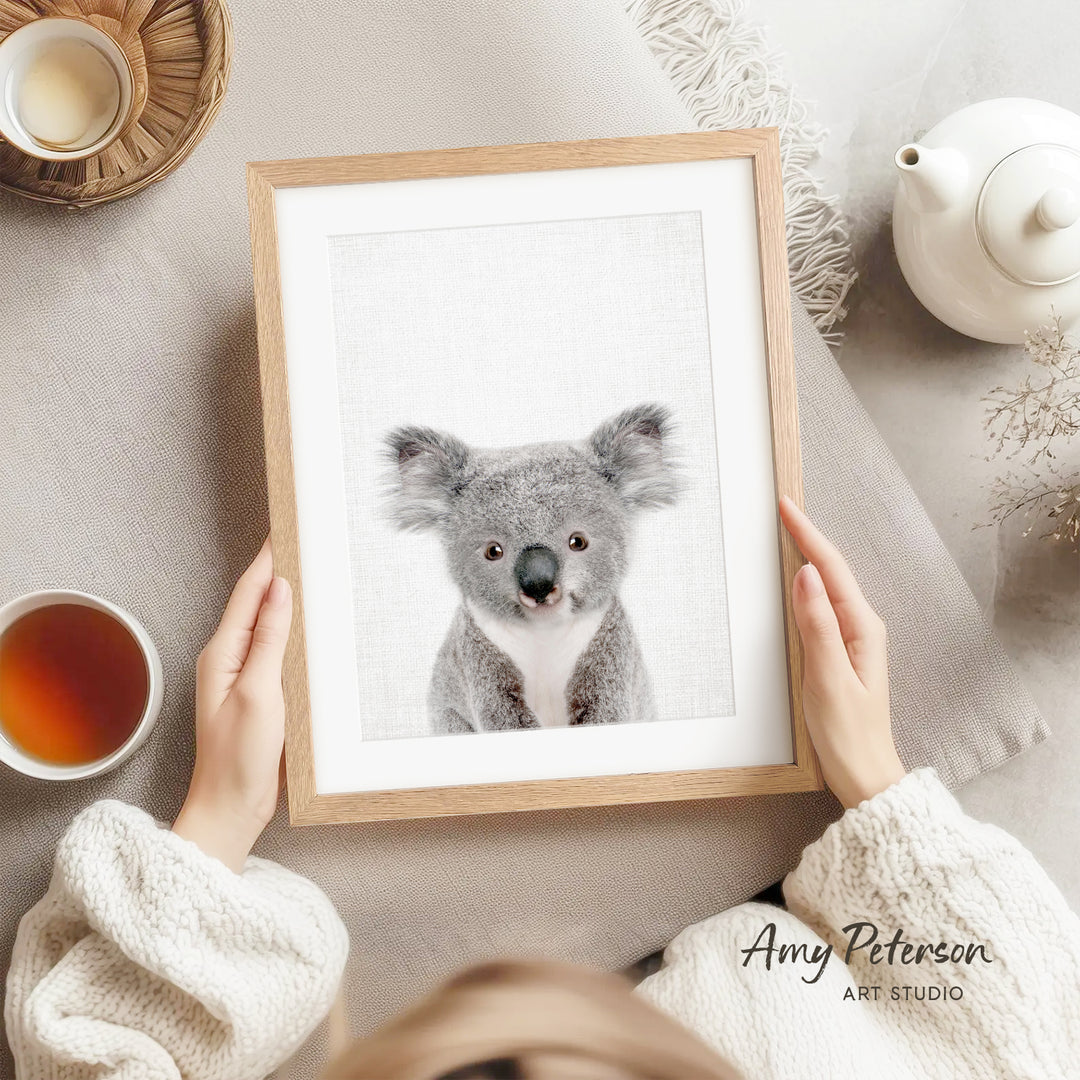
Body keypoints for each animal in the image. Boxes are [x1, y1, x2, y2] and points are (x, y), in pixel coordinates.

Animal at [384, 403, 678, 734]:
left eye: (578, 542)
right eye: (493, 551)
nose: (538, 584)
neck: (544, 634)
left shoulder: (610, 651)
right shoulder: (478, 659)